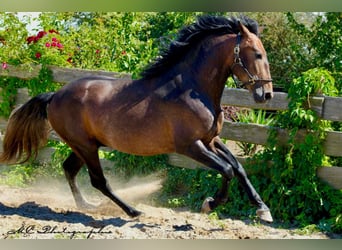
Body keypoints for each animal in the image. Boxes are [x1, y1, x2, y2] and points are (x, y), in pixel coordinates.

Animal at [0, 15, 272, 222]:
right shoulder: (190, 146)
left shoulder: (211, 140)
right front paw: (211, 204)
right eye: (257, 54)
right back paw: (132, 211)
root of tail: (55, 95)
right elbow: (227, 169)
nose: (266, 95)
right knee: (98, 181)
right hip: (85, 146)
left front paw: (262, 209)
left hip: (83, 146)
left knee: (69, 169)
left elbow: (238, 167)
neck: (190, 88)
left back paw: (86, 205)